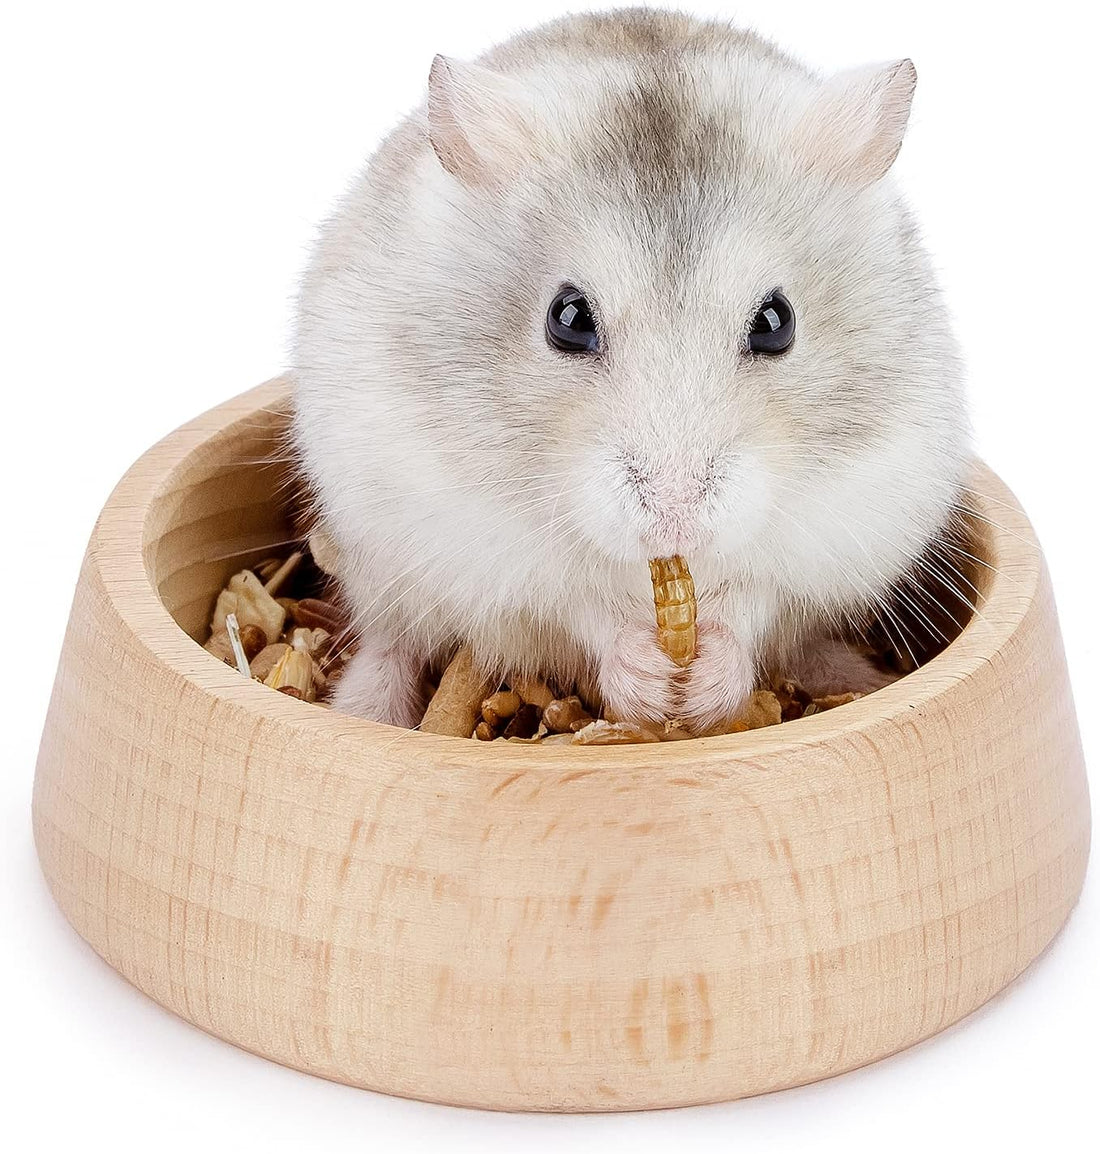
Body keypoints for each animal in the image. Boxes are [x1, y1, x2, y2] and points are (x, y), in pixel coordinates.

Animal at [291, 7, 968, 734]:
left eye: (776, 321)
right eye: (566, 318)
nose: (675, 524)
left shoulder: (851, 519)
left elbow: (756, 599)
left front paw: (699, 685)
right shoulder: (485, 549)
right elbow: (580, 605)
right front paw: (650, 683)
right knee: (391, 642)